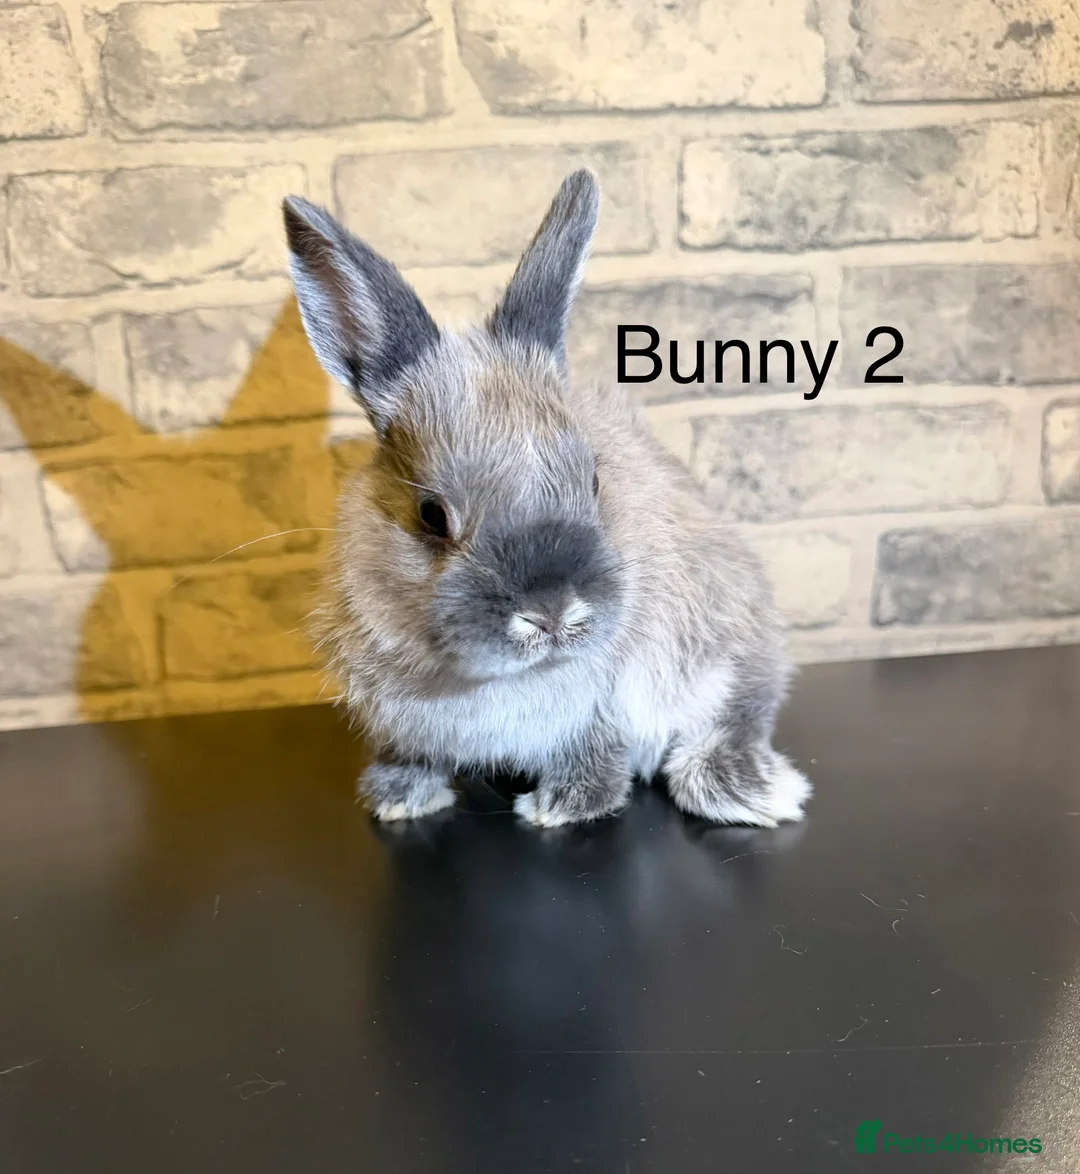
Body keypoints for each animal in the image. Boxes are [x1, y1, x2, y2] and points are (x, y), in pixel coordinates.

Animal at [281, 169, 812, 829]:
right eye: (432, 515)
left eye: (594, 481)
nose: (553, 611)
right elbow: (416, 754)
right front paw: (398, 798)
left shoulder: (607, 704)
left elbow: (598, 755)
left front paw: (560, 807)